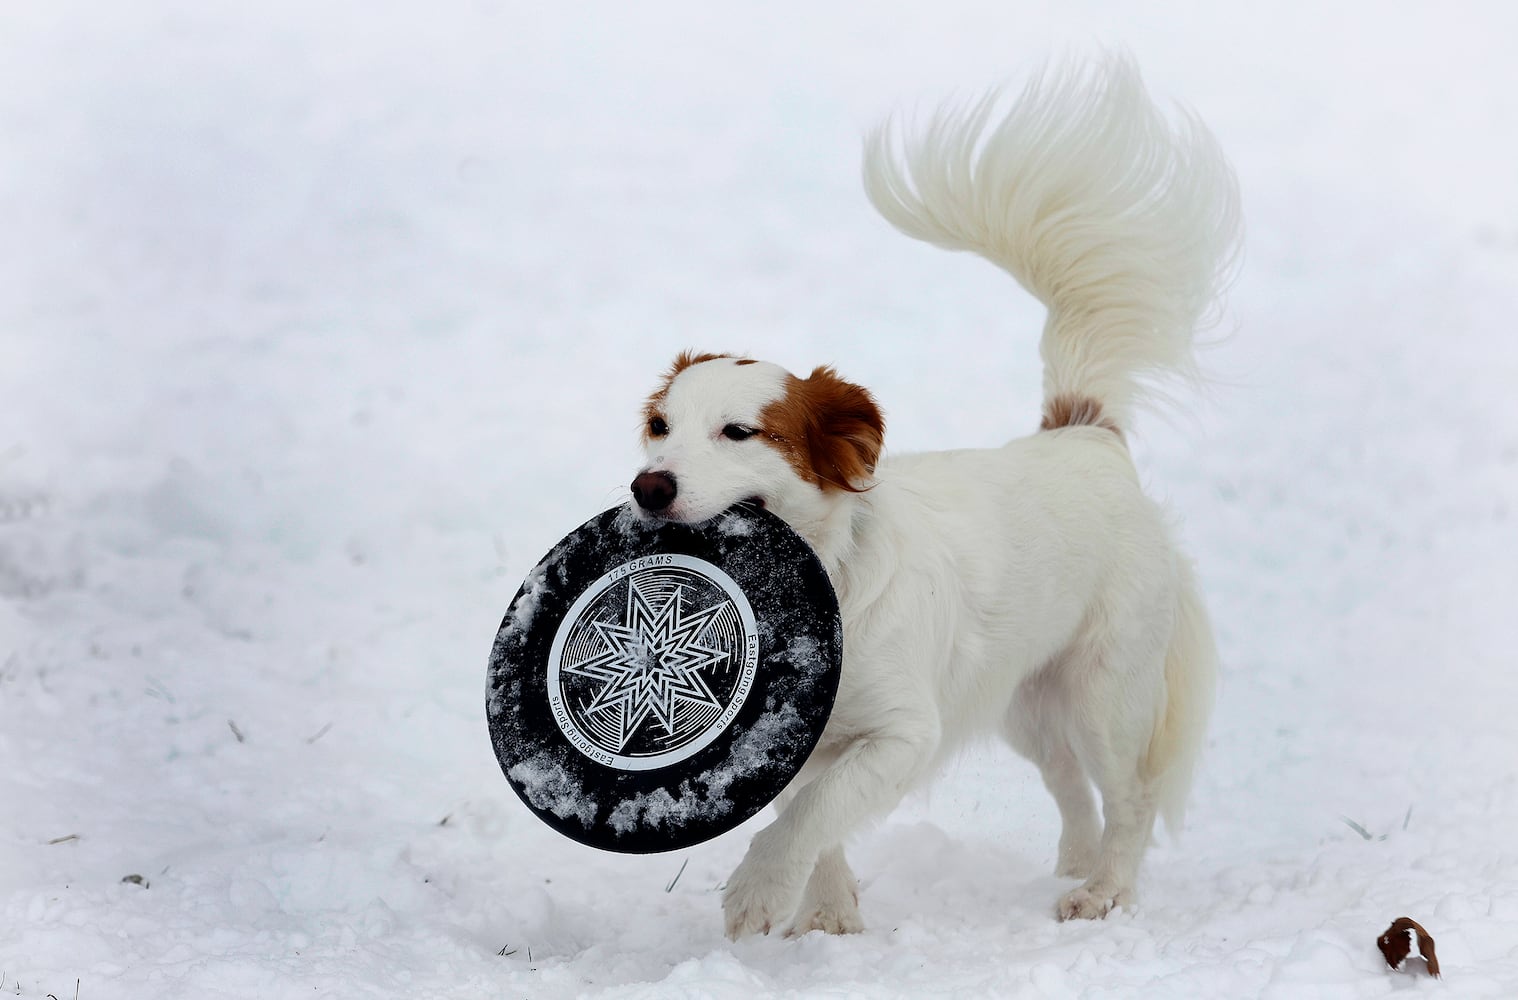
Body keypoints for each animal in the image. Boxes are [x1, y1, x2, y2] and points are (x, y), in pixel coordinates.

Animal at [625, 54, 1232, 934]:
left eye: (739, 433)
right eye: (658, 427)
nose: (648, 486)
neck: (833, 579)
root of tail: (1086, 436)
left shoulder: (903, 732)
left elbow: (814, 811)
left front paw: (763, 893)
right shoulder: (796, 741)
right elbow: (809, 809)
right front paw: (828, 912)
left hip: (1104, 693)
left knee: (1130, 796)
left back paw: (1105, 889)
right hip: (1025, 701)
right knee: (1069, 783)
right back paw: (1076, 860)